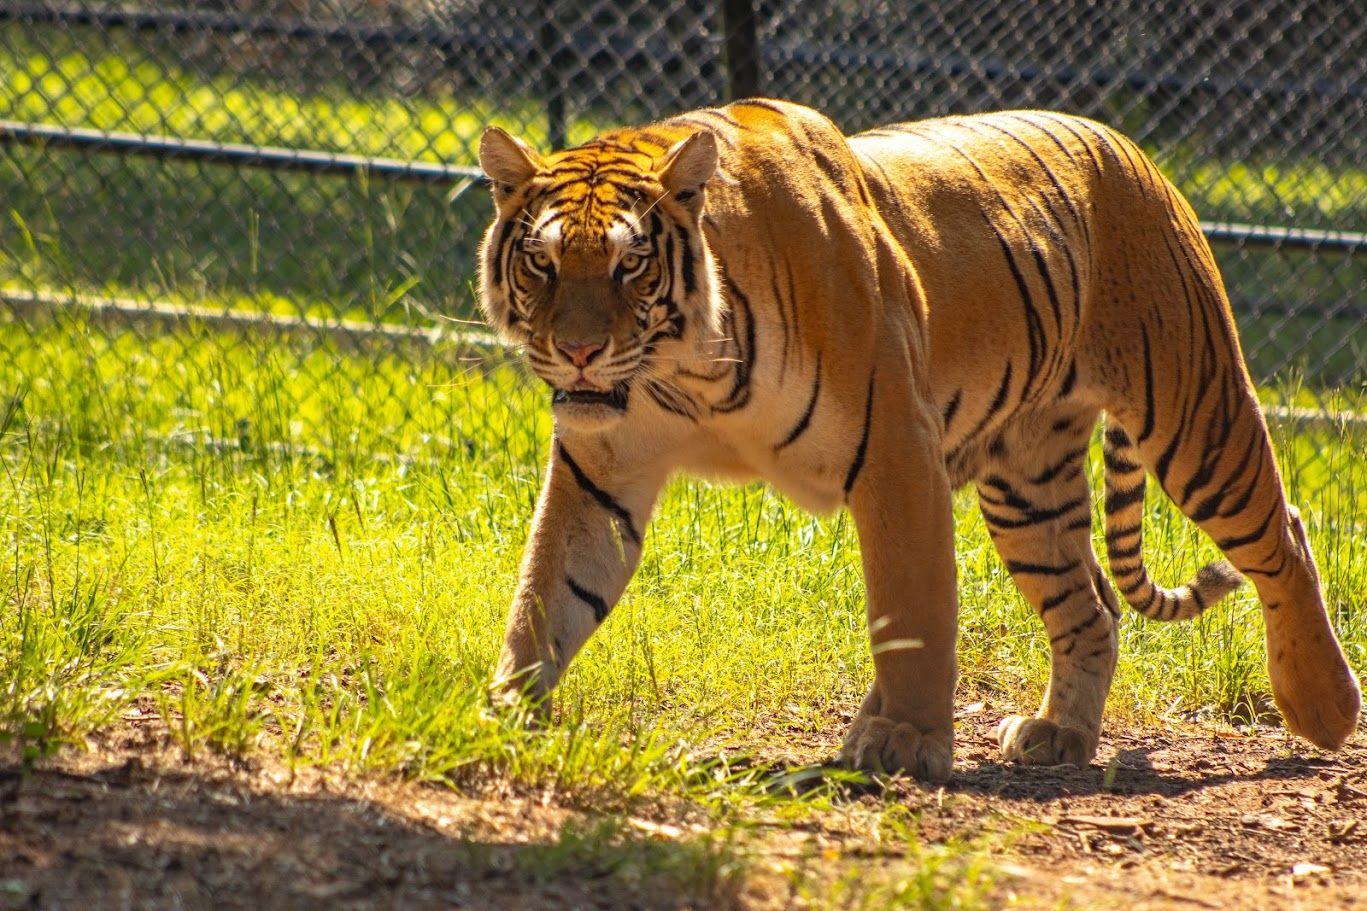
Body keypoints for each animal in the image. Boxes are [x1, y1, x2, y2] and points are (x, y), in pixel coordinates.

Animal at [475, 98, 1360, 781]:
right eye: (541, 264)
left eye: (628, 266)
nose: (578, 350)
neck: (683, 372)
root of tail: (1129, 144)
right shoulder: (600, 469)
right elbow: (546, 593)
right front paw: (503, 709)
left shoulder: (896, 450)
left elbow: (911, 608)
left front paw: (903, 741)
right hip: (1026, 488)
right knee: (1092, 606)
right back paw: (1059, 735)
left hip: (1193, 411)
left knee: (1282, 535)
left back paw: (1322, 706)